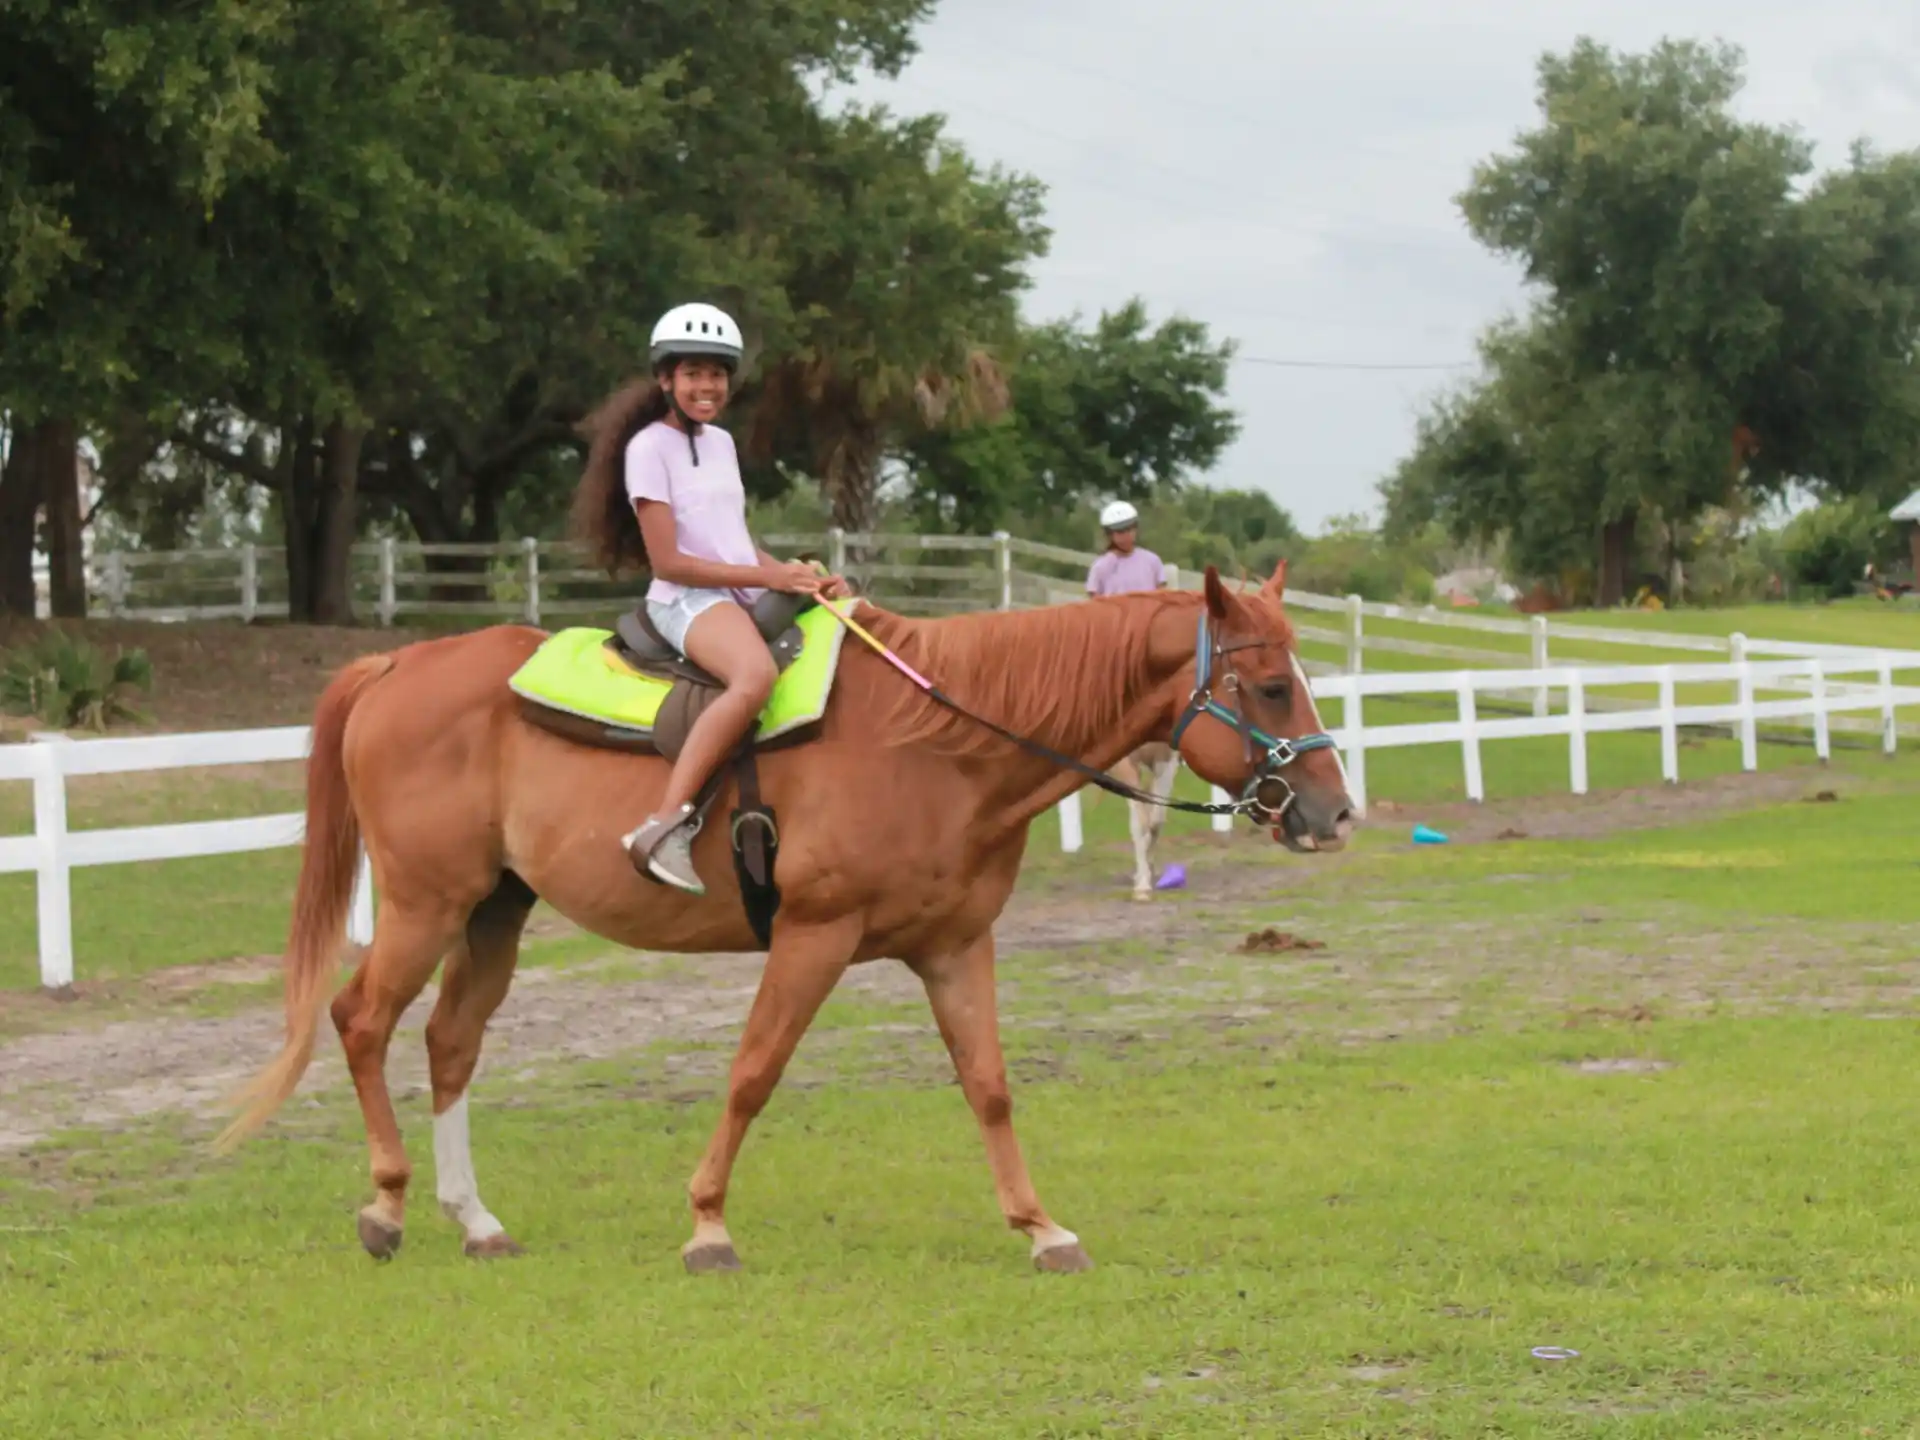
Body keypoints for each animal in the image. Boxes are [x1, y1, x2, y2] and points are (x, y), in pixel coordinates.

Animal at [217, 561, 1356, 1274]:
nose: (1337, 812)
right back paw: (385, 1206)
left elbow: (988, 1087)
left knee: (451, 1042)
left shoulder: (955, 947)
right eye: (1268, 686)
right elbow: (754, 1073)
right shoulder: (815, 936)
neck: (940, 742)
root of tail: (398, 665)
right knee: (362, 1021)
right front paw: (707, 1229)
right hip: (424, 903)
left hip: (495, 908)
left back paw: (475, 1220)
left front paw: (1041, 1229)